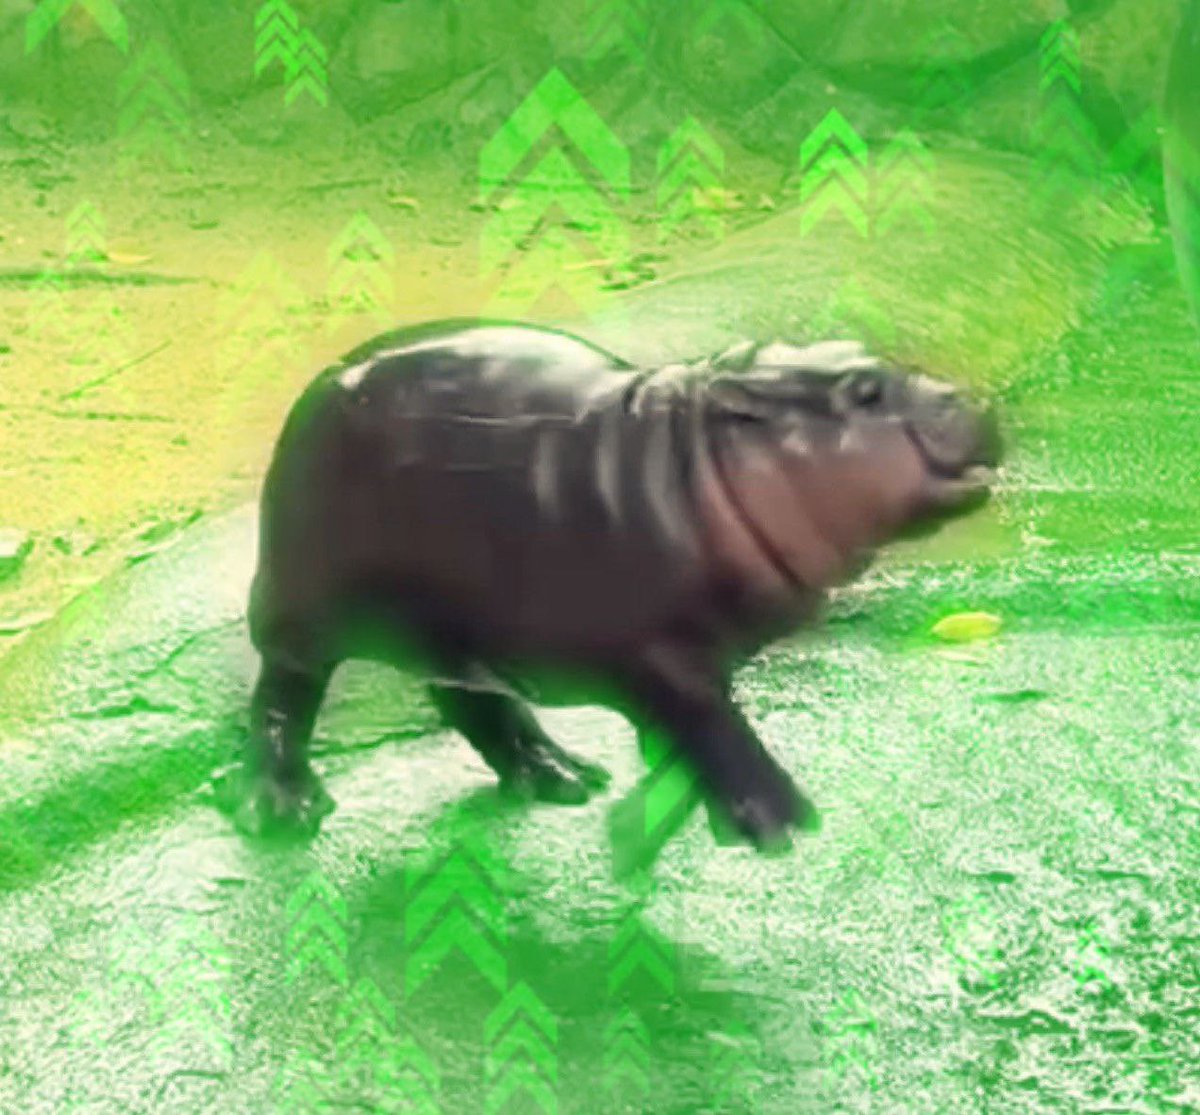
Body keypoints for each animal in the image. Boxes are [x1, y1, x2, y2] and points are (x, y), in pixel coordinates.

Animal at [217, 318, 1000, 874]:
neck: (697, 466)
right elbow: (718, 730)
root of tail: (322, 380)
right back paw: (283, 810)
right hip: (303, 607)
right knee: (283, 697)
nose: (977, 401)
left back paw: (564, 777)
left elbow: (688, 743)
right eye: (863, 390)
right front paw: (783, 824)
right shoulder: (659, 658)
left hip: (456, 627)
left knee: (471, 700)